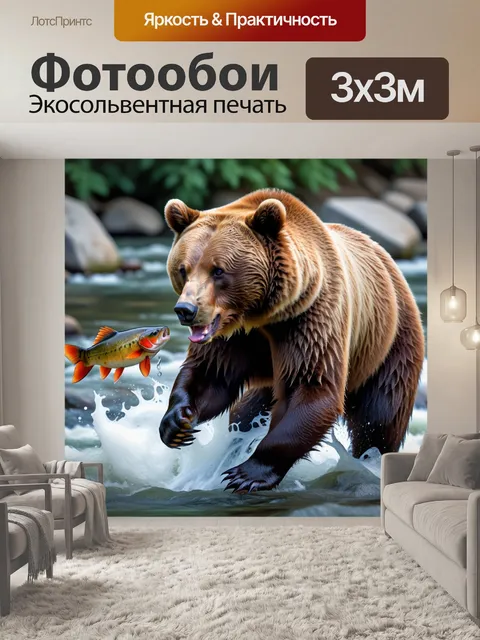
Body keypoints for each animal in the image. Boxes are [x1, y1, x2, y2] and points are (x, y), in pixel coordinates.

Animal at [159, 189, 424, 493]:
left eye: (218, 270)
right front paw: (177, 423)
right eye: (183, 269)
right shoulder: (232, 337)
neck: (262, 315)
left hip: (390, 341)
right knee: (245, 410)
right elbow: (211, 375)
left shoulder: (310, 321)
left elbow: (311, 388)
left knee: (380, 417)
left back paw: (370, 459)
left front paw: (246, 473)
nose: (186, 309)